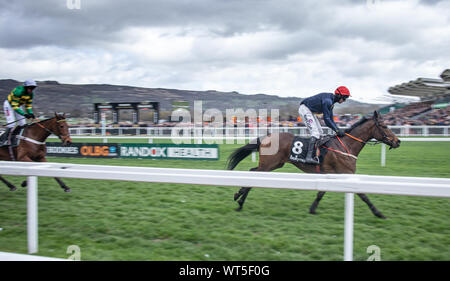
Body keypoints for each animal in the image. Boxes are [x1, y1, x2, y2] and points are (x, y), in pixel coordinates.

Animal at [229, 110, 400, 218]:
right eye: (385, 126)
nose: (398, 141)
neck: (346, 146)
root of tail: (266, 136)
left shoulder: (330, 174)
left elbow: (321, 192)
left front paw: (312, 209)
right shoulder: (346, 173)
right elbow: (363, 194)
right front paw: (378, 213)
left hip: (275, 164)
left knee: (253, 172)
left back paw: (239, 198)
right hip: (269, 164)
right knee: (253, 174)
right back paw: (239, 200)